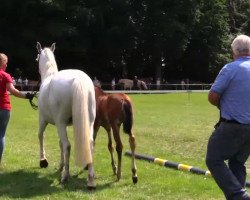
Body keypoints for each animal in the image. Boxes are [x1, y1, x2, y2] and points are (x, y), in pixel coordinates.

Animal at [35, 42, 96, 189]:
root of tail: (78, 79)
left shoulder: (43, 120)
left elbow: (41, 136)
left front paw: (43, 160)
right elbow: (59, 143)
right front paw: (61, 165)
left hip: (60, 123)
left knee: (67, 145)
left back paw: (65, 176)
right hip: (89, 122)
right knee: (90, 143)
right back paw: (90, 180)